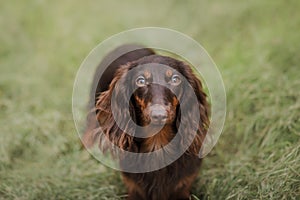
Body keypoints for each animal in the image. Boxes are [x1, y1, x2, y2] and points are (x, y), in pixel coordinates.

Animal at [82, 45, 209, 200]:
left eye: (175, 79)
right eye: (140, 81)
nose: (159, 115)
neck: (158, 144)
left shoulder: (184, 186)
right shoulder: (133, 189)